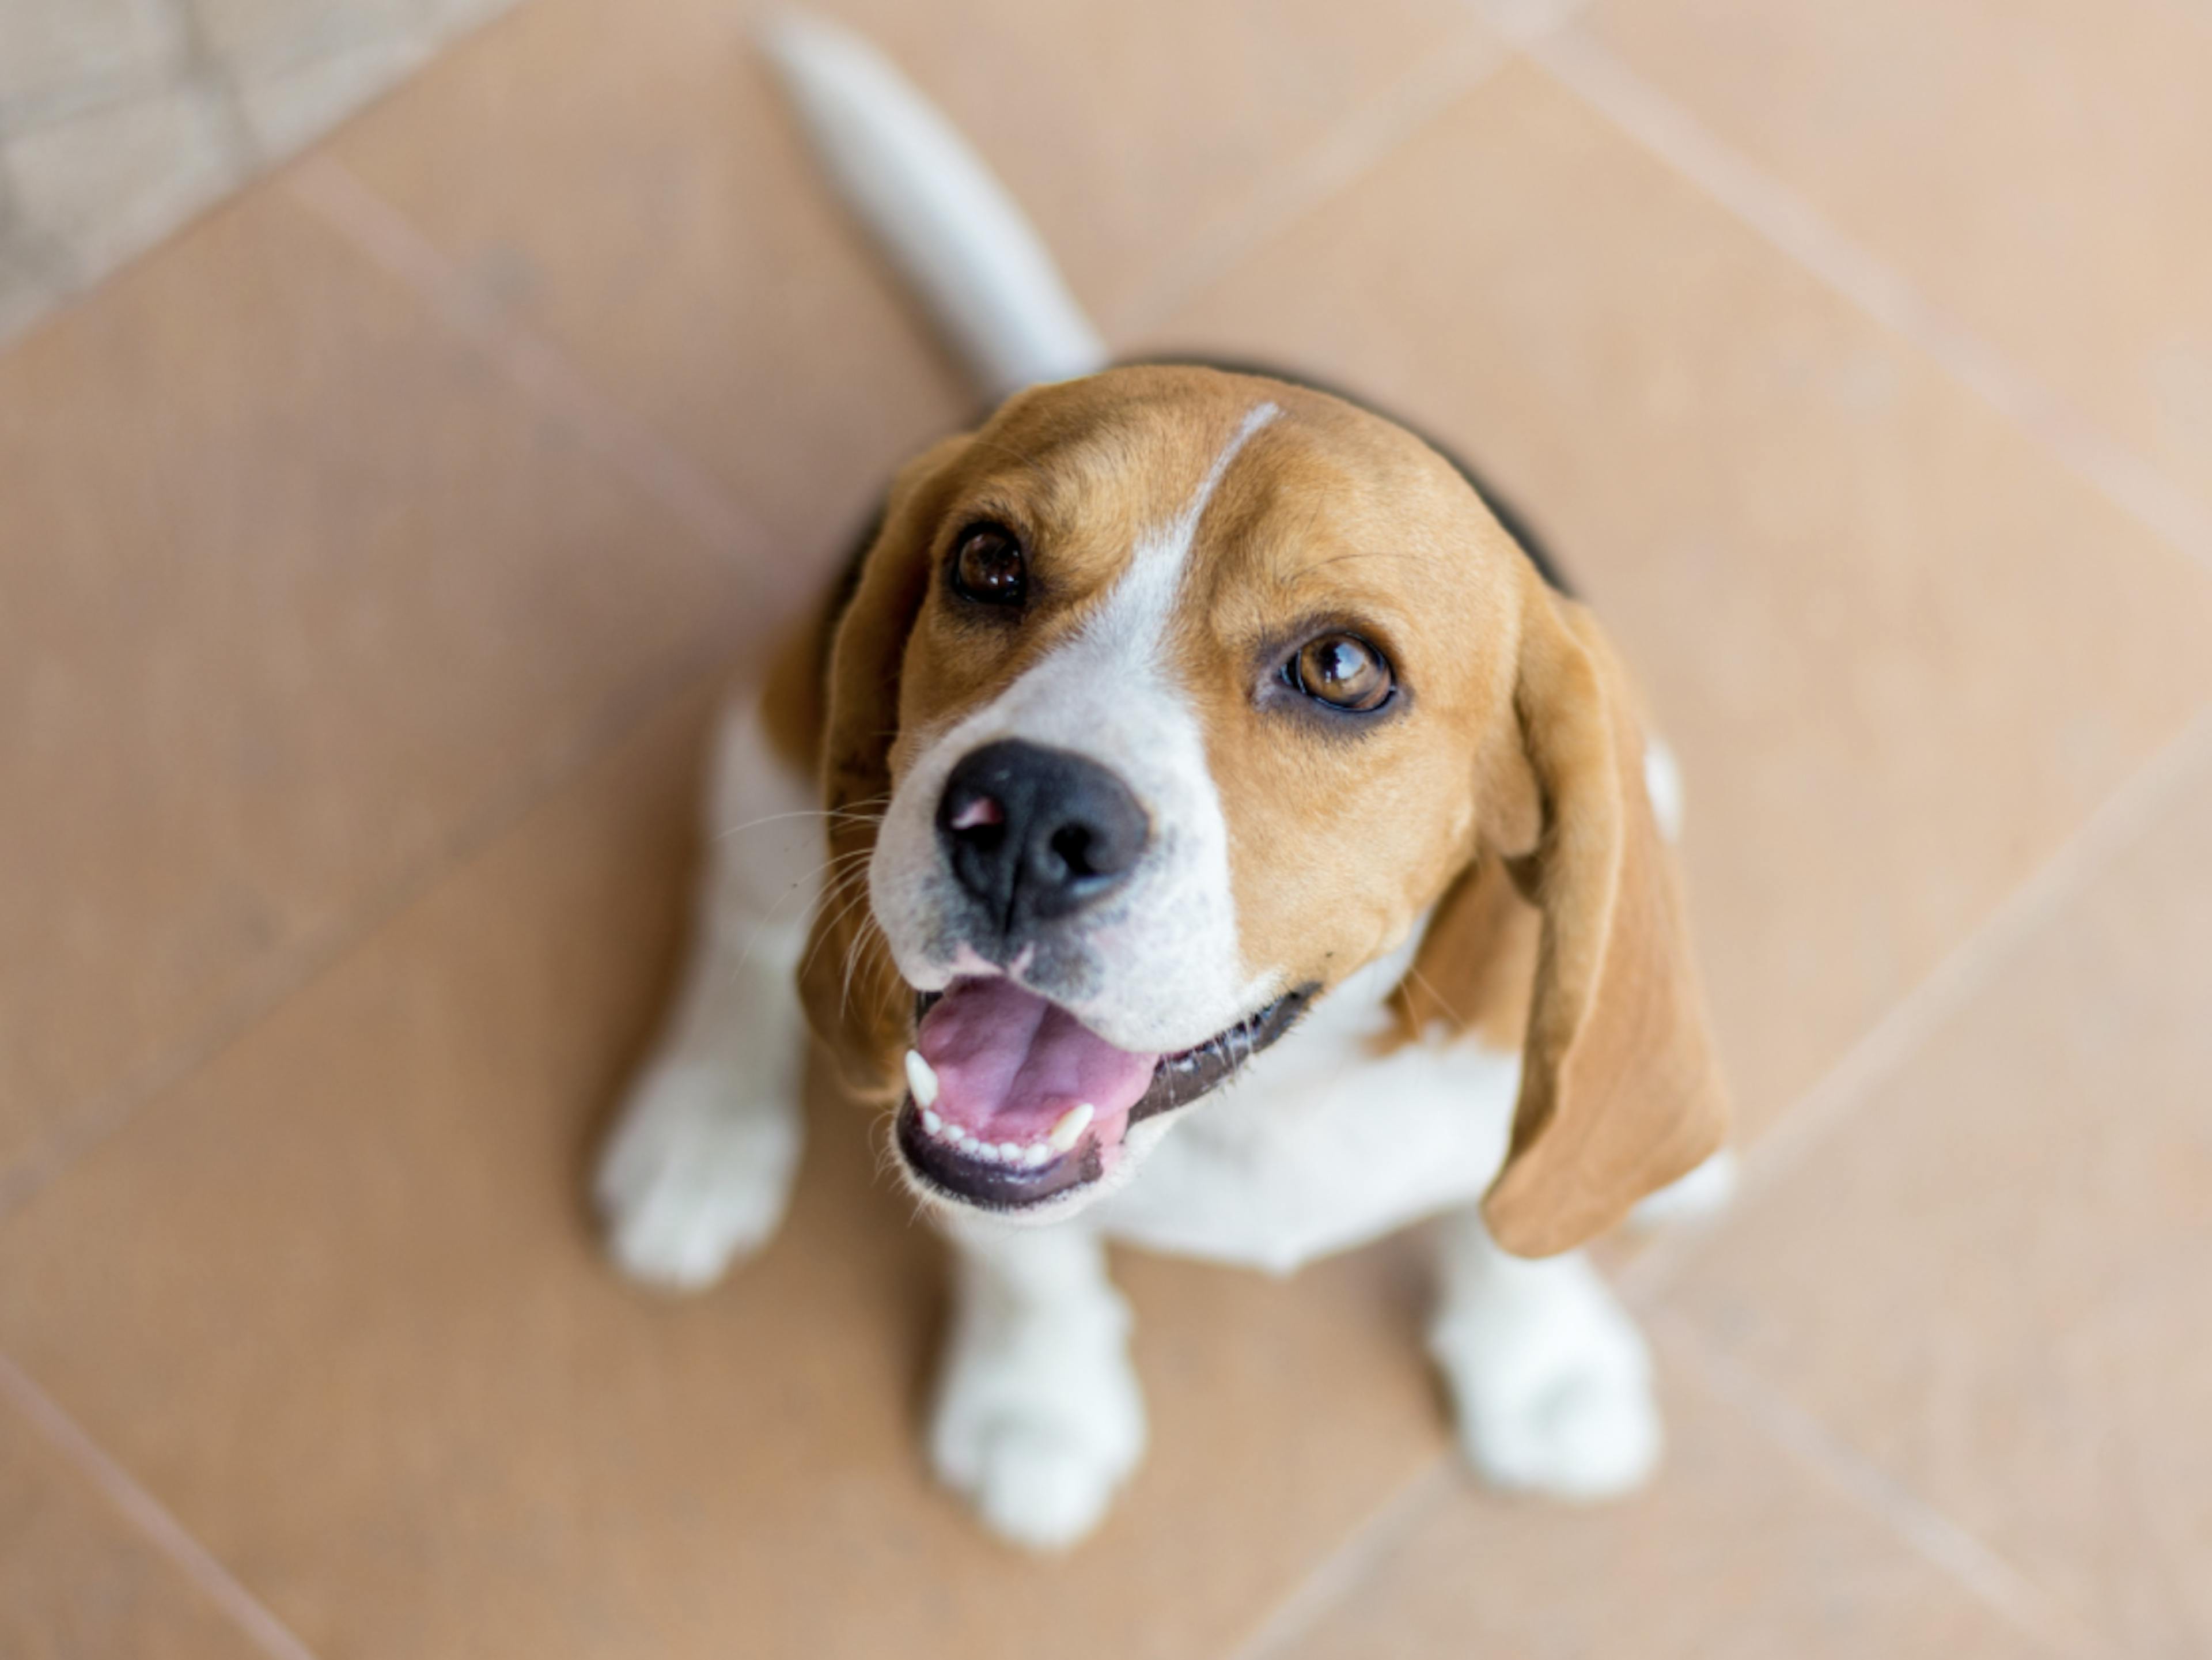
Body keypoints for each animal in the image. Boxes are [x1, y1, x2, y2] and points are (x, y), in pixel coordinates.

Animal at [597, 13, 1734, 1558]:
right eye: (988, 561)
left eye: (1341, 667)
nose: (1022, 819)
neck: (1259, 1107)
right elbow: (1027, 1263)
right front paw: (1038, 1407)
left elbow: (1514, 1220)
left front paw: (1541, 1363)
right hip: (771, 740)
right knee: (741, 927)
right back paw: (700, 1133)